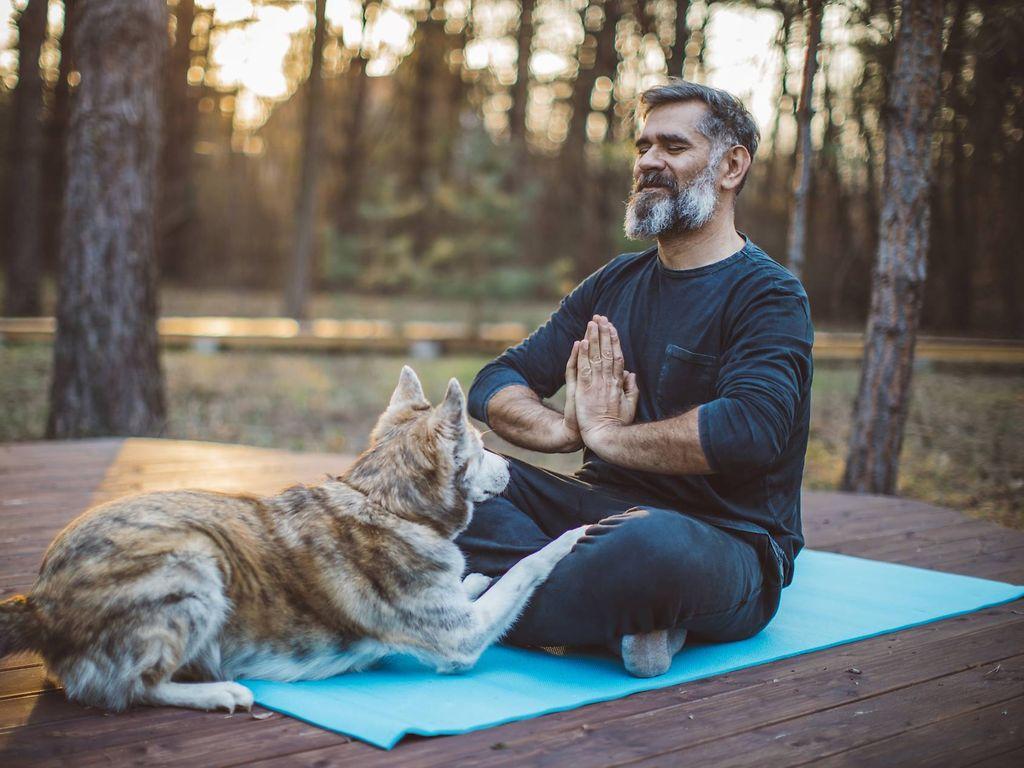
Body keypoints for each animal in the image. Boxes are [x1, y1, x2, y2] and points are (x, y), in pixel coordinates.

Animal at [0, 366, 585, 716]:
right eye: (481, 448)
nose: (509, 467)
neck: (385, 502)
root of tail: (40, 600)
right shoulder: (460, 641)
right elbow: (527, 566)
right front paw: (574, 534)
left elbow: (481, 583)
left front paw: (474, 576)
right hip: (195, 566)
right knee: (134, 690)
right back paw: (219, 692)